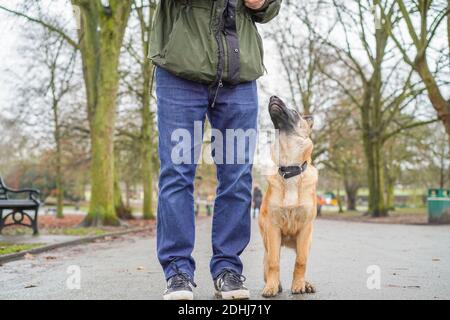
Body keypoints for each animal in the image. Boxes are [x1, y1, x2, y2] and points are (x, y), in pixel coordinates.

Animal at [258, 95, 318, 298]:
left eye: (294, 111)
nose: (273, 97)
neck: (290, 169)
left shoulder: (305, 230)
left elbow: (301, 261)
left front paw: (298, 285)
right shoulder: (273, 229)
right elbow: (274, 263)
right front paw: (271, 287)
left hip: (306, 242)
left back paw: (306, 283)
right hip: (268, 243)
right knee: (268, 264)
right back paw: (274, 284)